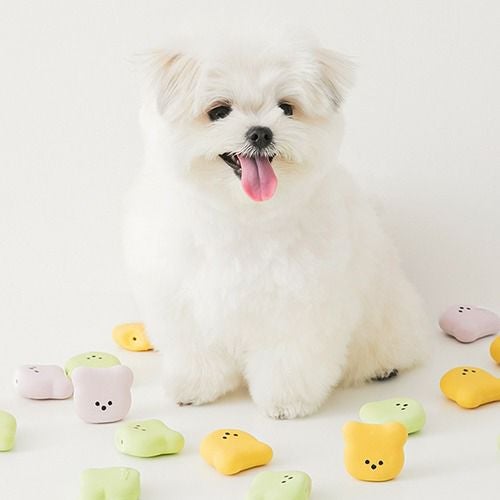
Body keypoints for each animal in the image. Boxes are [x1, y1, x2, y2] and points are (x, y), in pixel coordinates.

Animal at [123, 31, 428, 419]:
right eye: (219, 111)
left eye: (286, 108)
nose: (260, 133)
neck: (243, 214)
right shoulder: (183, 297)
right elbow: (197, 351)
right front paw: (196, 386)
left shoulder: (300, 305)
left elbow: (289, 358)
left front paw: (287, 400)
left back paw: (383, 366)